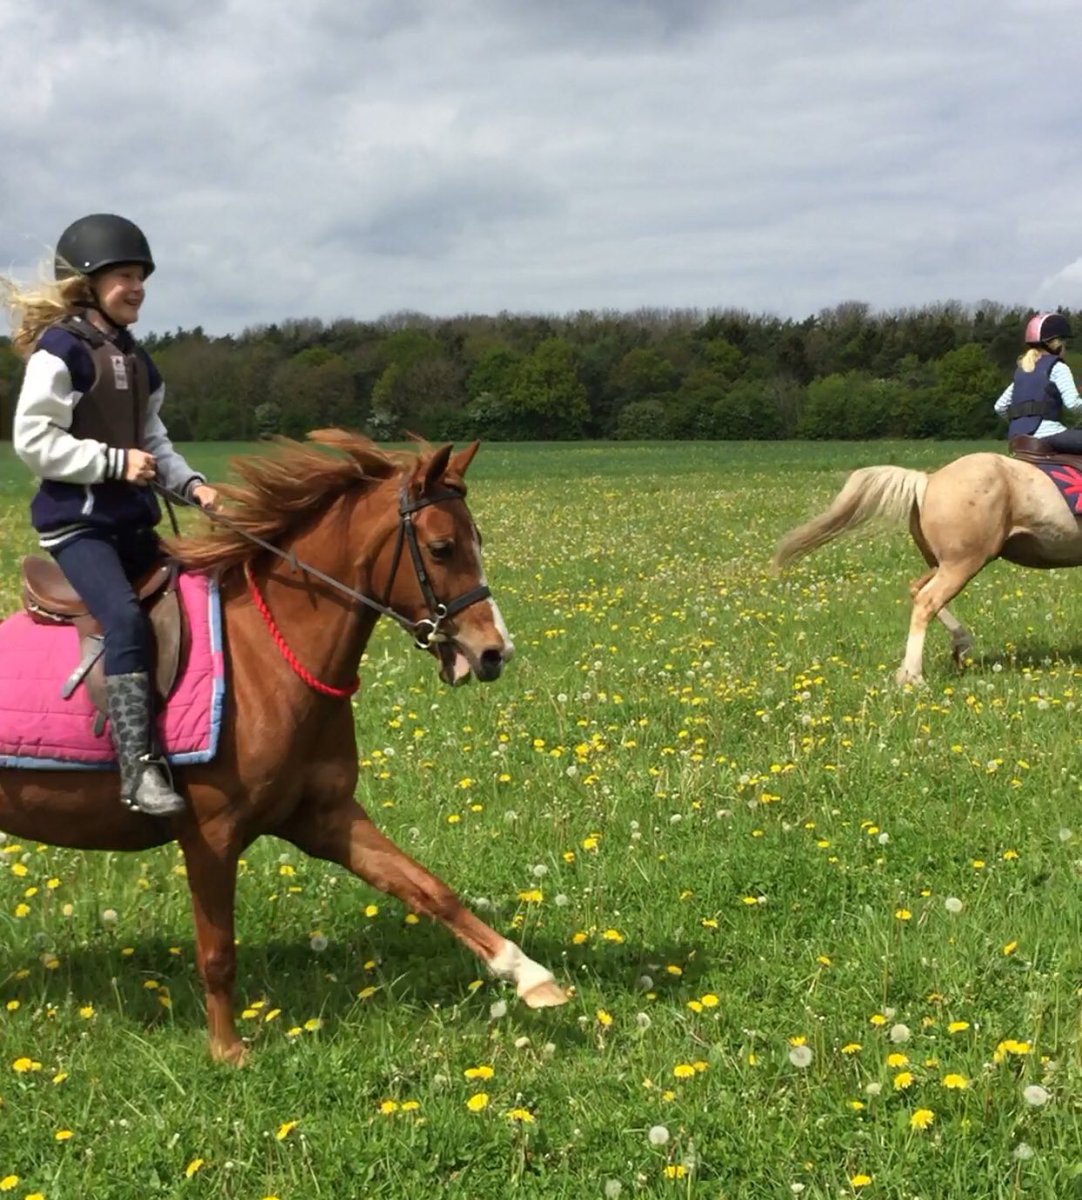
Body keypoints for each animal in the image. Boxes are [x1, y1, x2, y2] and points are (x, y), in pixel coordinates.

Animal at [0, 430, 566, 1063]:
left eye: (478, 541)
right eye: (442, 548)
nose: (494, 652)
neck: (266, 657)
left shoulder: (325, 817)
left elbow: (428, 889)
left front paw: (529, 975)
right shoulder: (211, 835)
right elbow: (217, 952)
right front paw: (228, 1051)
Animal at [772, 450, 1082, 685]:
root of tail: (927, 480)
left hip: (942, 563)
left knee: (917, 591)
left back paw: (959, 645)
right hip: (963, 563)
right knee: (927, 601)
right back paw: (913, 676)